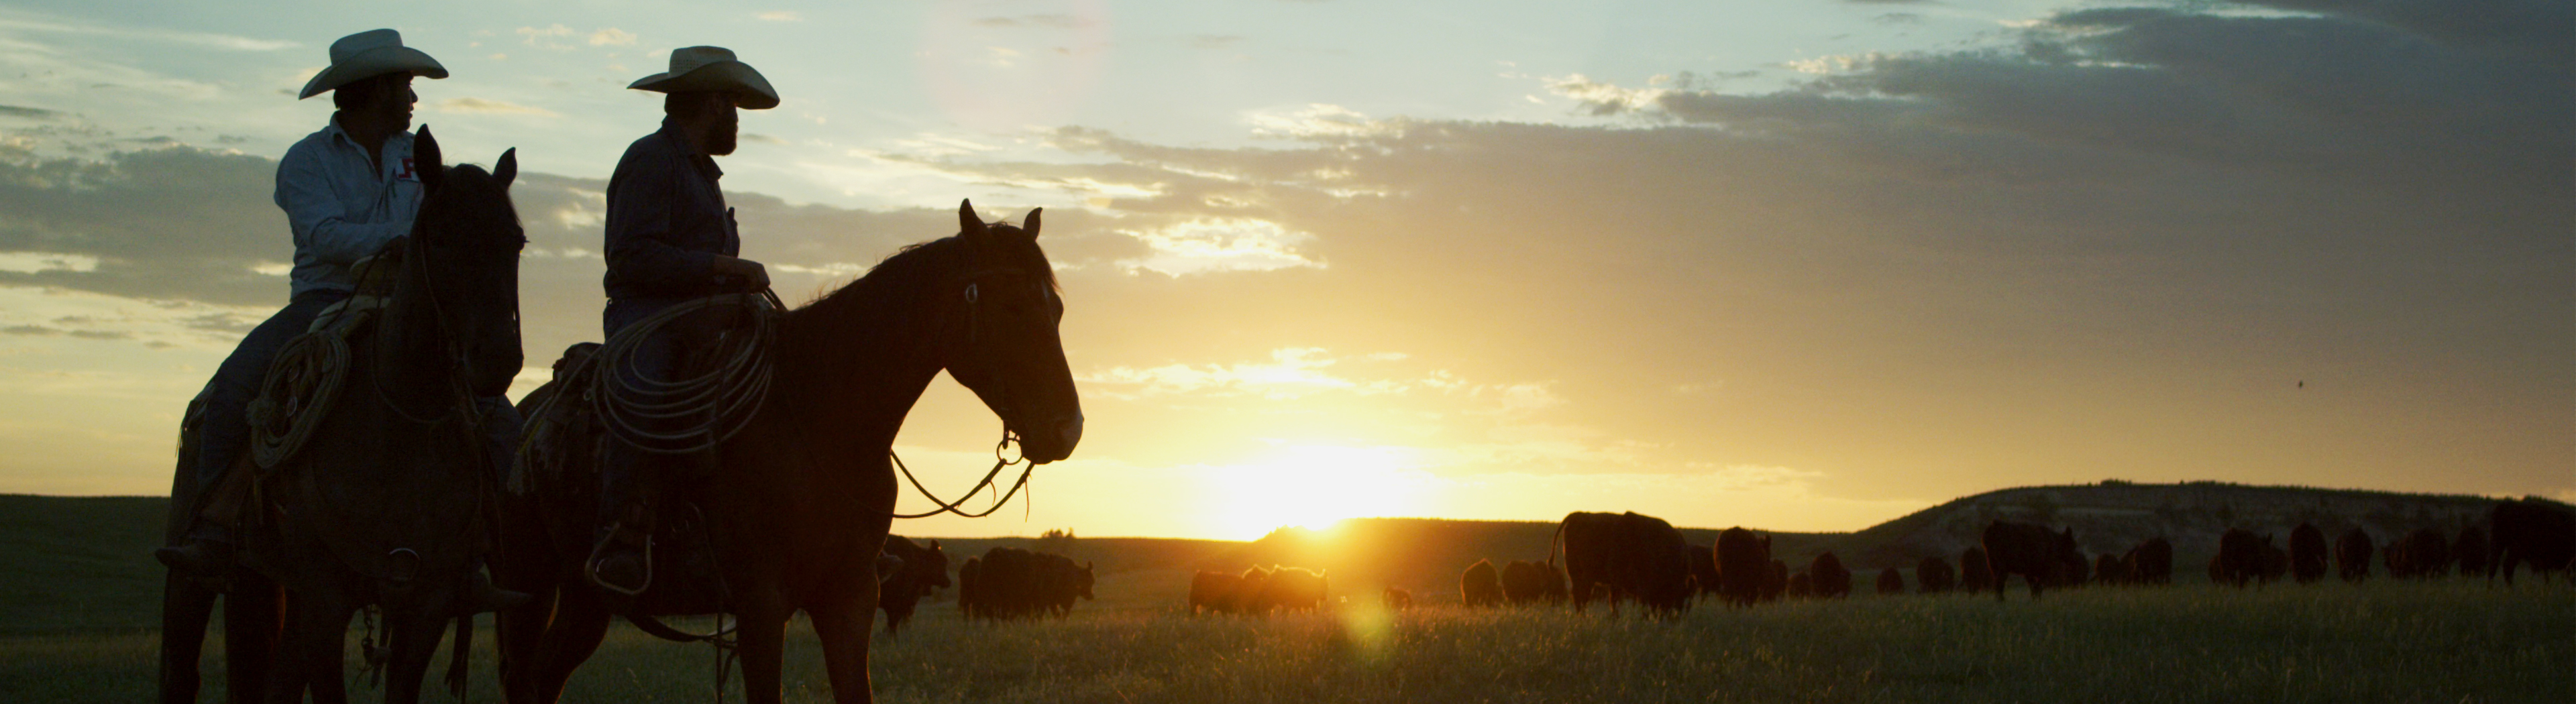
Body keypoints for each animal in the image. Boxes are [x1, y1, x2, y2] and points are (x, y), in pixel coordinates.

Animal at [1553, 511, 1695, 616]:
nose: (1673, 617)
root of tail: (1579, 515)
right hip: (1586, 576)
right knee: (1582, 597)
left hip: (1578, 575)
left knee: (1580, 597)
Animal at [1982, 521, 2082, 600]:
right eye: (2074, 545)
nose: (2075, 562)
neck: (2056, 543)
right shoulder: (2043, 570)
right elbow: (2038, 587)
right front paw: (2037, 601)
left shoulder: (2029, 572)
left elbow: (2033, 587)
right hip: (2002, 566)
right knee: (2000, 583)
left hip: (1993, 564)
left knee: (1997, 584)